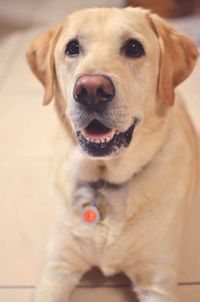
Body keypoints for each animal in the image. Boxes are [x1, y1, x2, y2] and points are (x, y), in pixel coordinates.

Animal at [26, 6, 198, 302]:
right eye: (72, 47)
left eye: (133, 47)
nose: (91, 90)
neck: (105, 180)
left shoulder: (157, 280)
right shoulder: (58, 268)